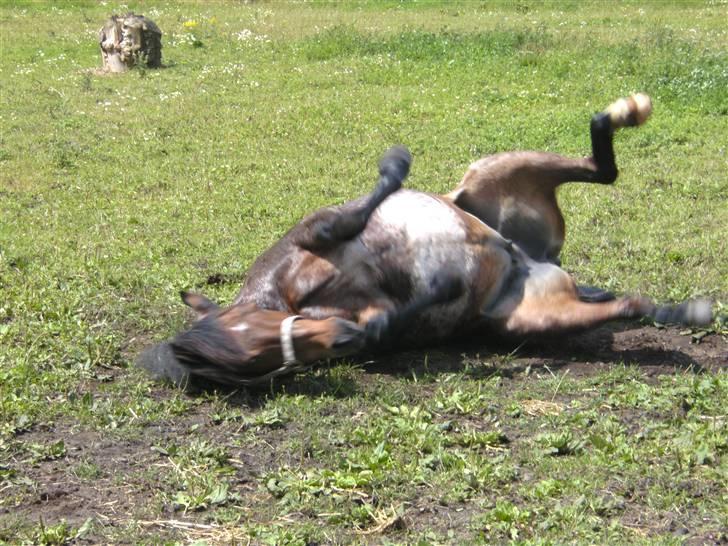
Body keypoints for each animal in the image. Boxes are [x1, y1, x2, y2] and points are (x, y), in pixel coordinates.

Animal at [136, 93, 712, 384]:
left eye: (253, 333)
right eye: (260, 364)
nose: (341, 340)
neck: (294, 294)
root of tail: (529, 258)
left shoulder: (312, 232)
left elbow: (345, 216)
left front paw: (395, 165)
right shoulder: (369, 313)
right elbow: (388, 320)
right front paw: (437, 291)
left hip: (490, 172)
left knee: (600, 166)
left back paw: (621, 113)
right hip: (529, 317)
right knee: (629, 302)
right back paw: (681, 312)